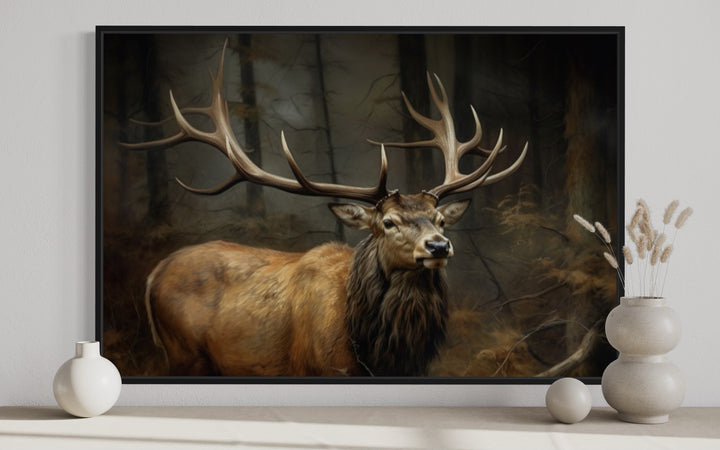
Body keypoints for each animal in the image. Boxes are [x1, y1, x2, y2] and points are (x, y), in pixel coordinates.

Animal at [123, 42, 527, 377]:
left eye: (441, 220)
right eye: (388, 222)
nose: (438, 246)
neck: (378, 354)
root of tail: (154, 274)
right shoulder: (317, 368)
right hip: (183, 353)